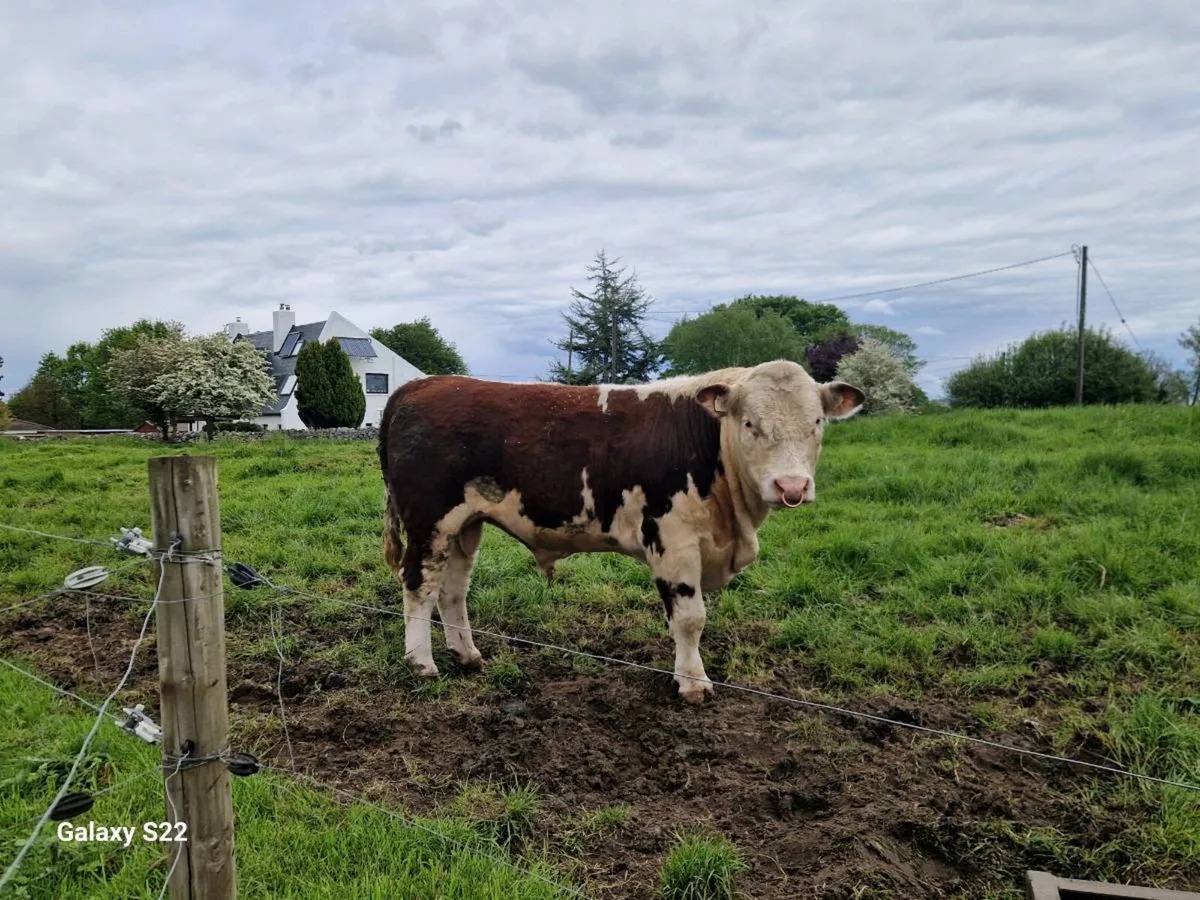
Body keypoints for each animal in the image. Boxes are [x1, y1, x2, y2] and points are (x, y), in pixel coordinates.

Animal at [376, 359, 865, 704]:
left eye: (816, 423)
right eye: (750, 423)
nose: (791, 486)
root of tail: (420, 386)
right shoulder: (673, 541)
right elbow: (690, 619)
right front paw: (693, 684)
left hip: (465, 525)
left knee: (453, 590)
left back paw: (467, 654)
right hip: (430, 520)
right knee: (419, 586)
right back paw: (422, 664)